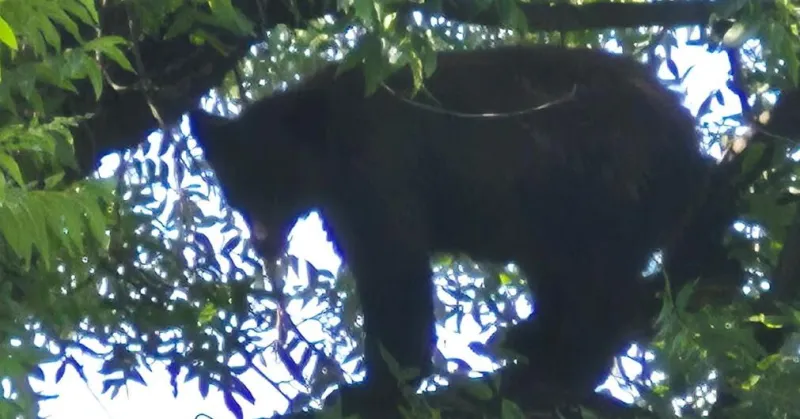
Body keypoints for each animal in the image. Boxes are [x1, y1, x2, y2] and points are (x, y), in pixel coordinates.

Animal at [187, 44, 725, 416]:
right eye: (237, 190)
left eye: (277, 182)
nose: (264, 240)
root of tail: (689, 144)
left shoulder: (378, 180)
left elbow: (396, 284)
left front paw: (375, 390)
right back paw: (528, 338)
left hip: (595, 183)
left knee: (594, 283)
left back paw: (561, 363)